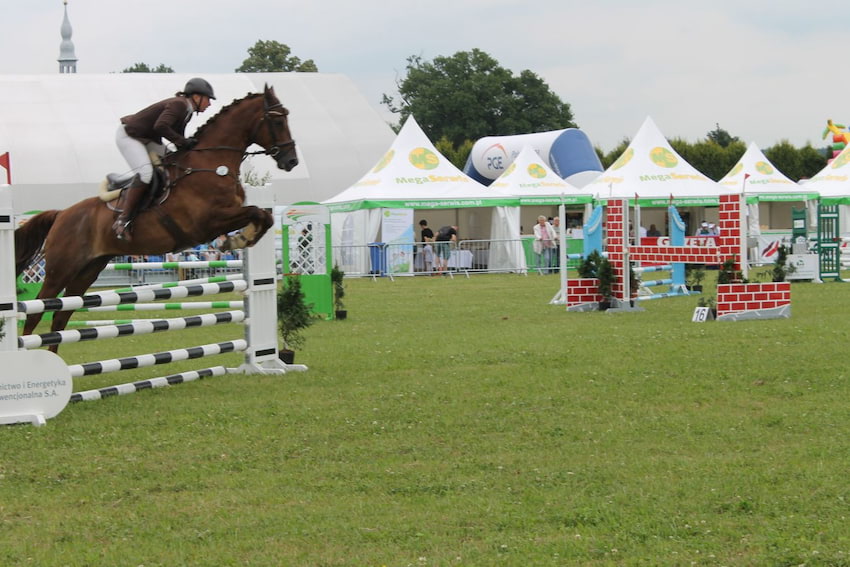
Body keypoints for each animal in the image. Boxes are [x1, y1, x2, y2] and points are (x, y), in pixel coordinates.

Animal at [12, 84, 298, 350]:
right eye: (277, 121)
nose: (291, 162)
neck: (211, 164)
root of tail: (61, 214)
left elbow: (264, 217)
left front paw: (239, 239)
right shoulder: (207, 222)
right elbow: (256, 213)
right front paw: (238, 240)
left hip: (88, 270)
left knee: (61, 316)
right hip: (60, 269)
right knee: (37, 311)